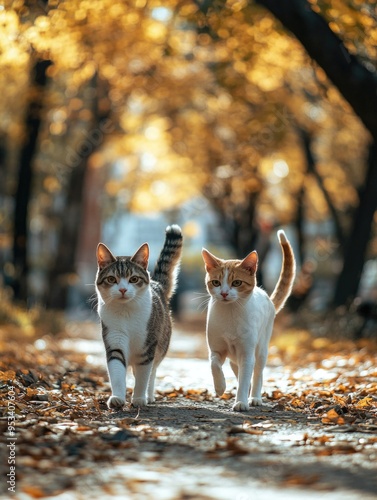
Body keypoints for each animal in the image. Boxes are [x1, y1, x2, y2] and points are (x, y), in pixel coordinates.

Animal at [94, 225, 181, 408]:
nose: (122, 289)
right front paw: (118, 398)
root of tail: (157, 284)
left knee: (152, 372)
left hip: (160, 346)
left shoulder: (147, 348)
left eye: (133, 279)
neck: (126, 312)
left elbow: (143, 376)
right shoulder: (115, 339)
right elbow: (117, 371)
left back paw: (149, 396)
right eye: (111, 279)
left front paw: (139, 399)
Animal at [201, 230, 296, 410]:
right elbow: (214, 364)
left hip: (261, 350)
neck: (230, 313)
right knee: (238, 370)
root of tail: (267, 297)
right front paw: (220, 386)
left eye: (236, 282)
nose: (224, 293)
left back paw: (255, 397)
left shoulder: (247, 354)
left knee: (257, 374)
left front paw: (241, 402)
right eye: (216, 282)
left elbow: (245, 380)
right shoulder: (216, 350)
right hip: (235, 358)